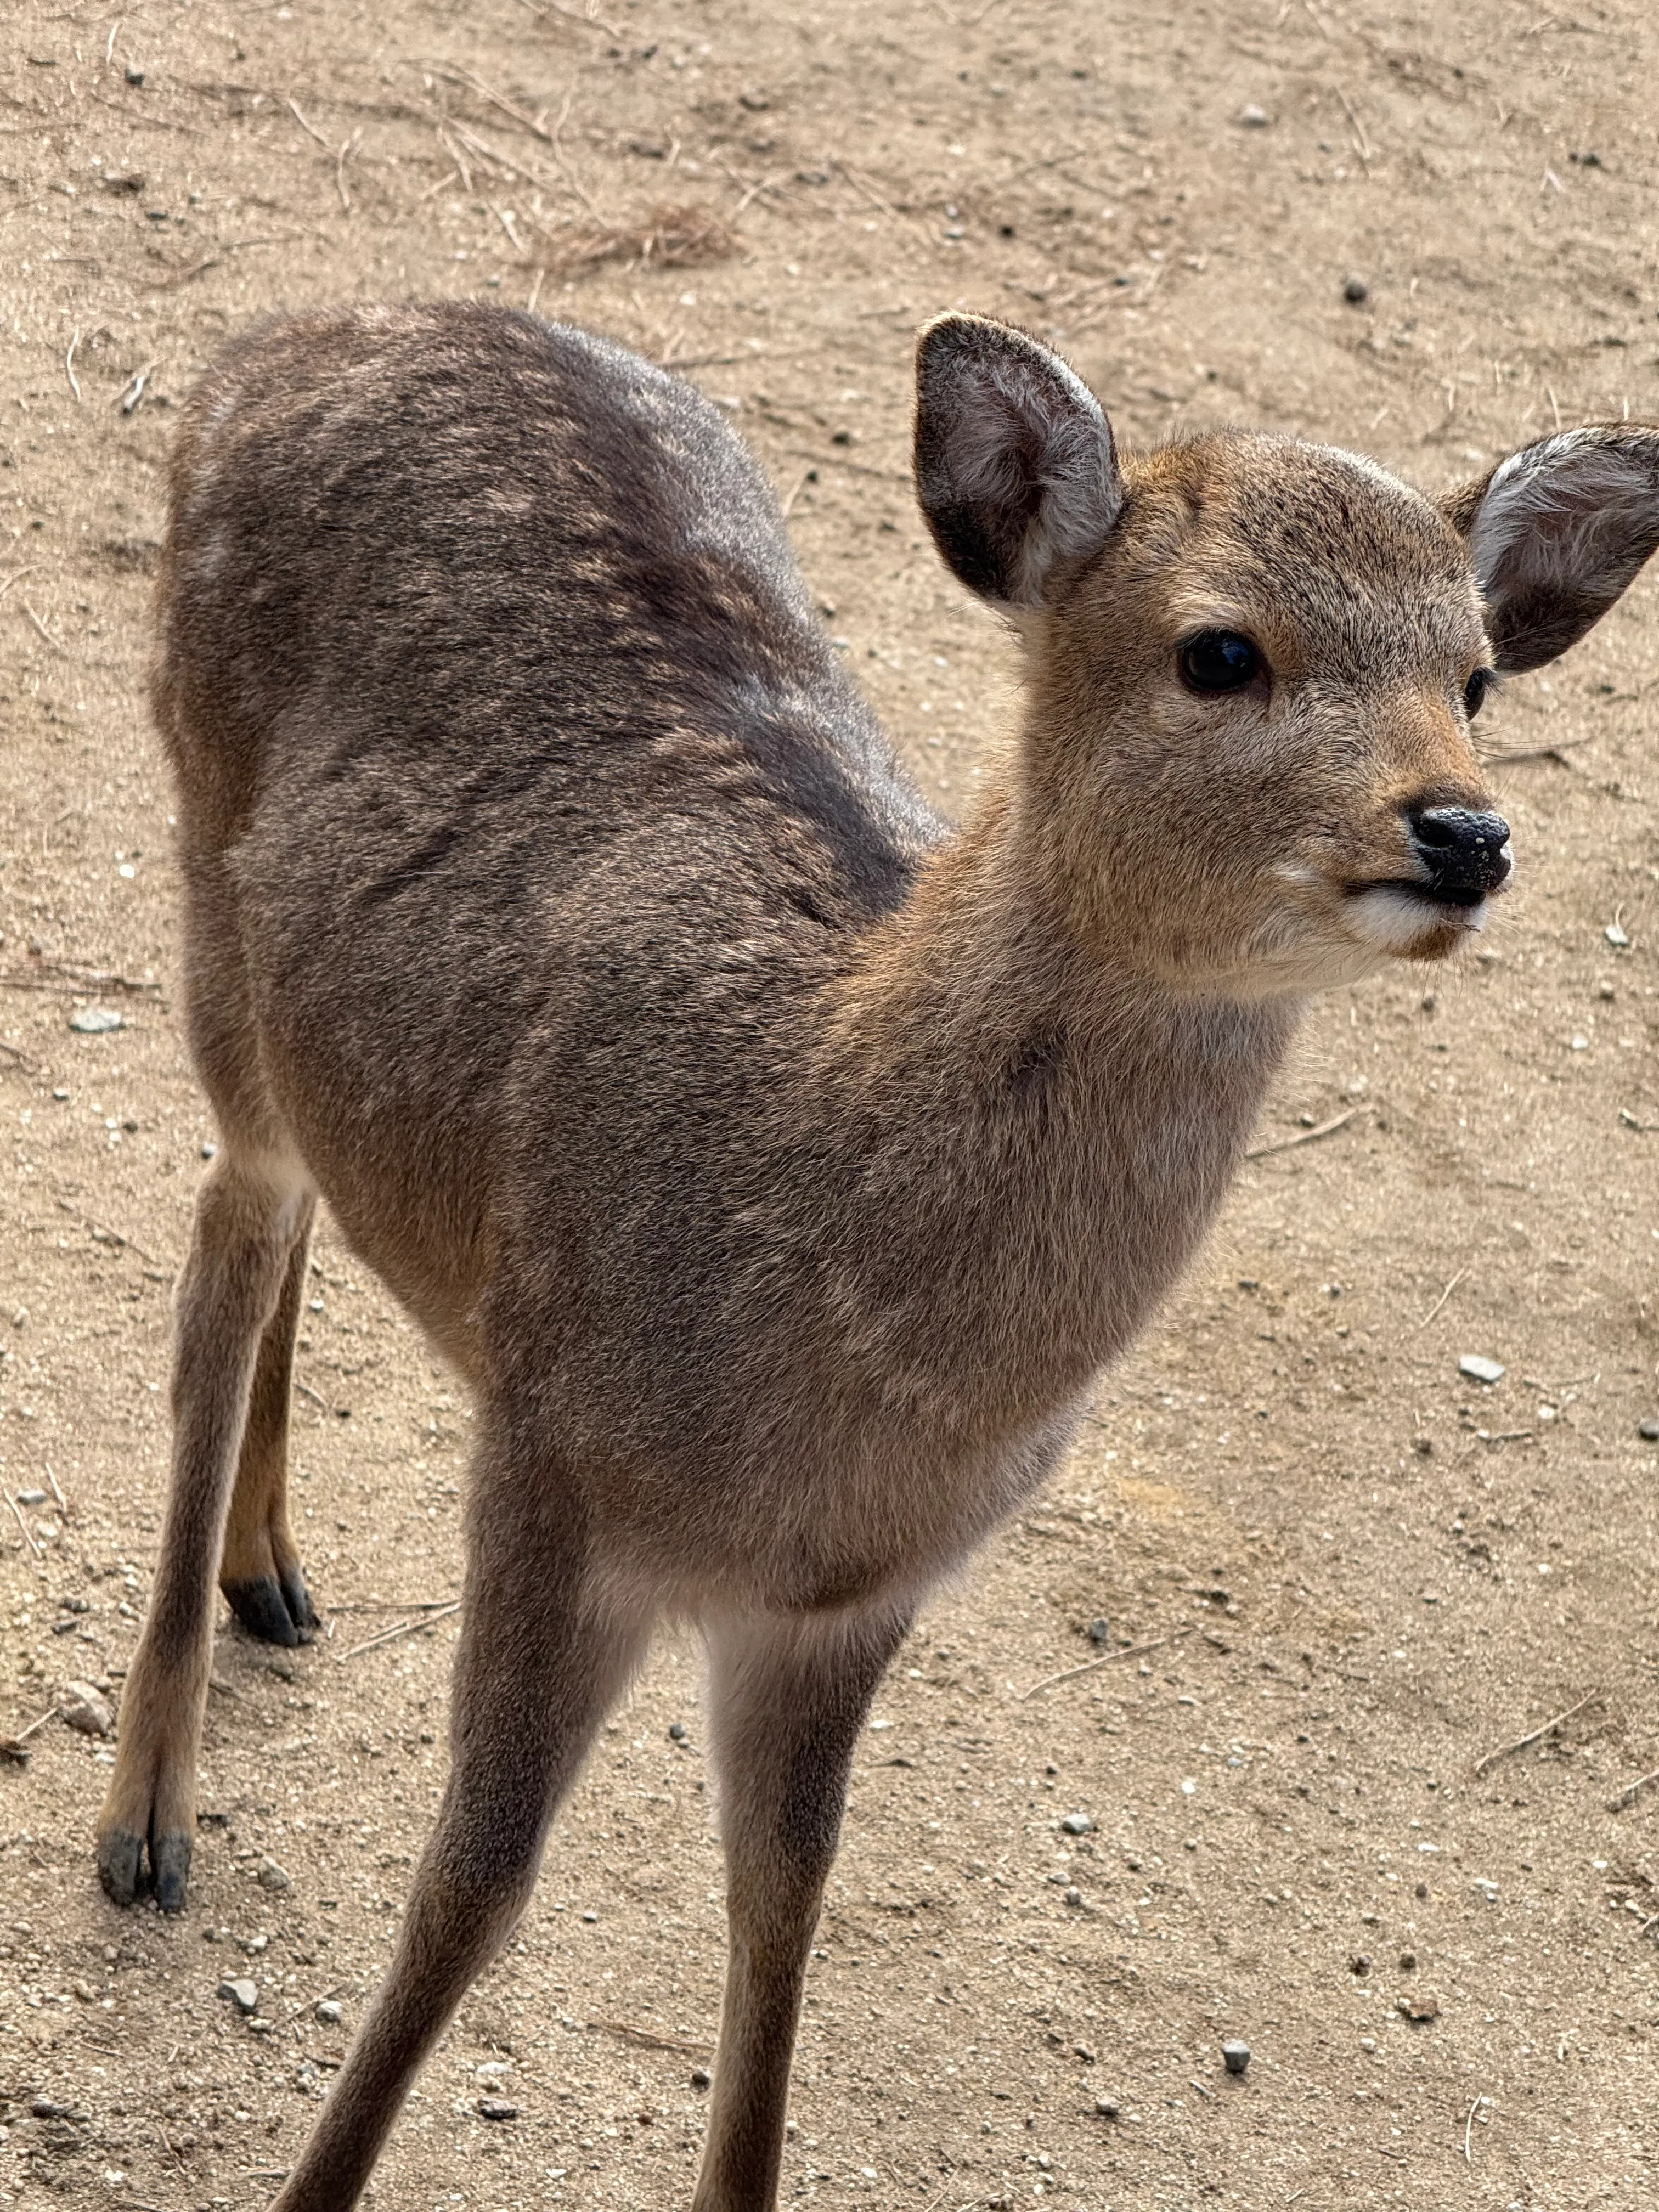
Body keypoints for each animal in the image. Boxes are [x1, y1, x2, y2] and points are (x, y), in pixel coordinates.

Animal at [94, 298, 1659, 2212]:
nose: (1465, 830)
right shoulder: (548, 1464)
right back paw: (148, 1817)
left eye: (1479, 676)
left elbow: (784, 1906)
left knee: (311, 1204)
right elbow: (470, 1886)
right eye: (1221, 651)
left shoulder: (852, 1600)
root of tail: (291, 334)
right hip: (204, 885)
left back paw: (276, 1570)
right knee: (227, 1239)